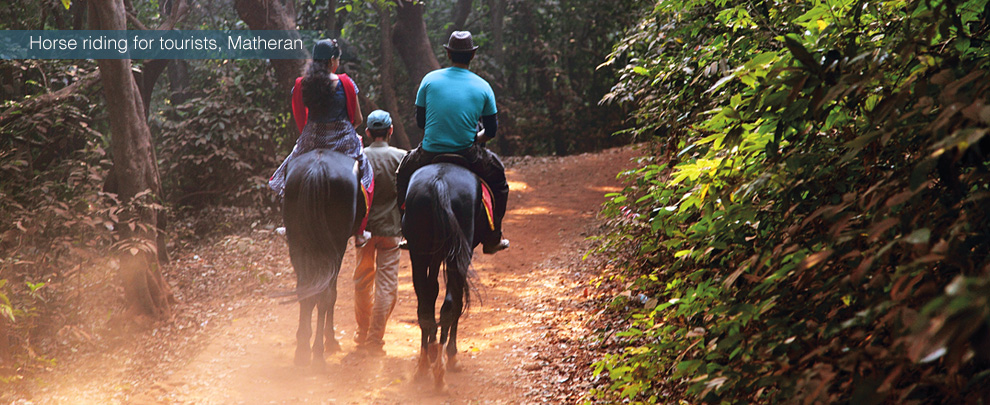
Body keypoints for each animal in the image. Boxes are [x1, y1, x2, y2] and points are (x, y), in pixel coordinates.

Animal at [280, 149, 360, 370]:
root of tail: (317, 168)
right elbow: (330, 294)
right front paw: (330, 339)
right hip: (334, 245)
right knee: (325, 294)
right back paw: (318, 352)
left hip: (298, 241)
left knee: (305, 290)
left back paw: (302, 351)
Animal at [398, 161, 486, 392]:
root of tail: (440, 183)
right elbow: (455, 300)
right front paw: (450, 354)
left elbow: (431, 293)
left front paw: (432, 346)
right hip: (456, 253)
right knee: (449, 303)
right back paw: (442, 370)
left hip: (419, 250)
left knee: (425, 304)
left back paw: (423, 365)